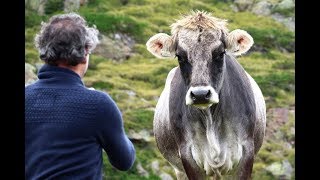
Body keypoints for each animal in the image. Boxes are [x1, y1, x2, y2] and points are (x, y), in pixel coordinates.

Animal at [146, 10, 266, 179]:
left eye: (220, 53)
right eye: (180, 56)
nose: (200, 94)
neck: (211, 119)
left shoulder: (246, 151)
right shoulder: (187, 156)